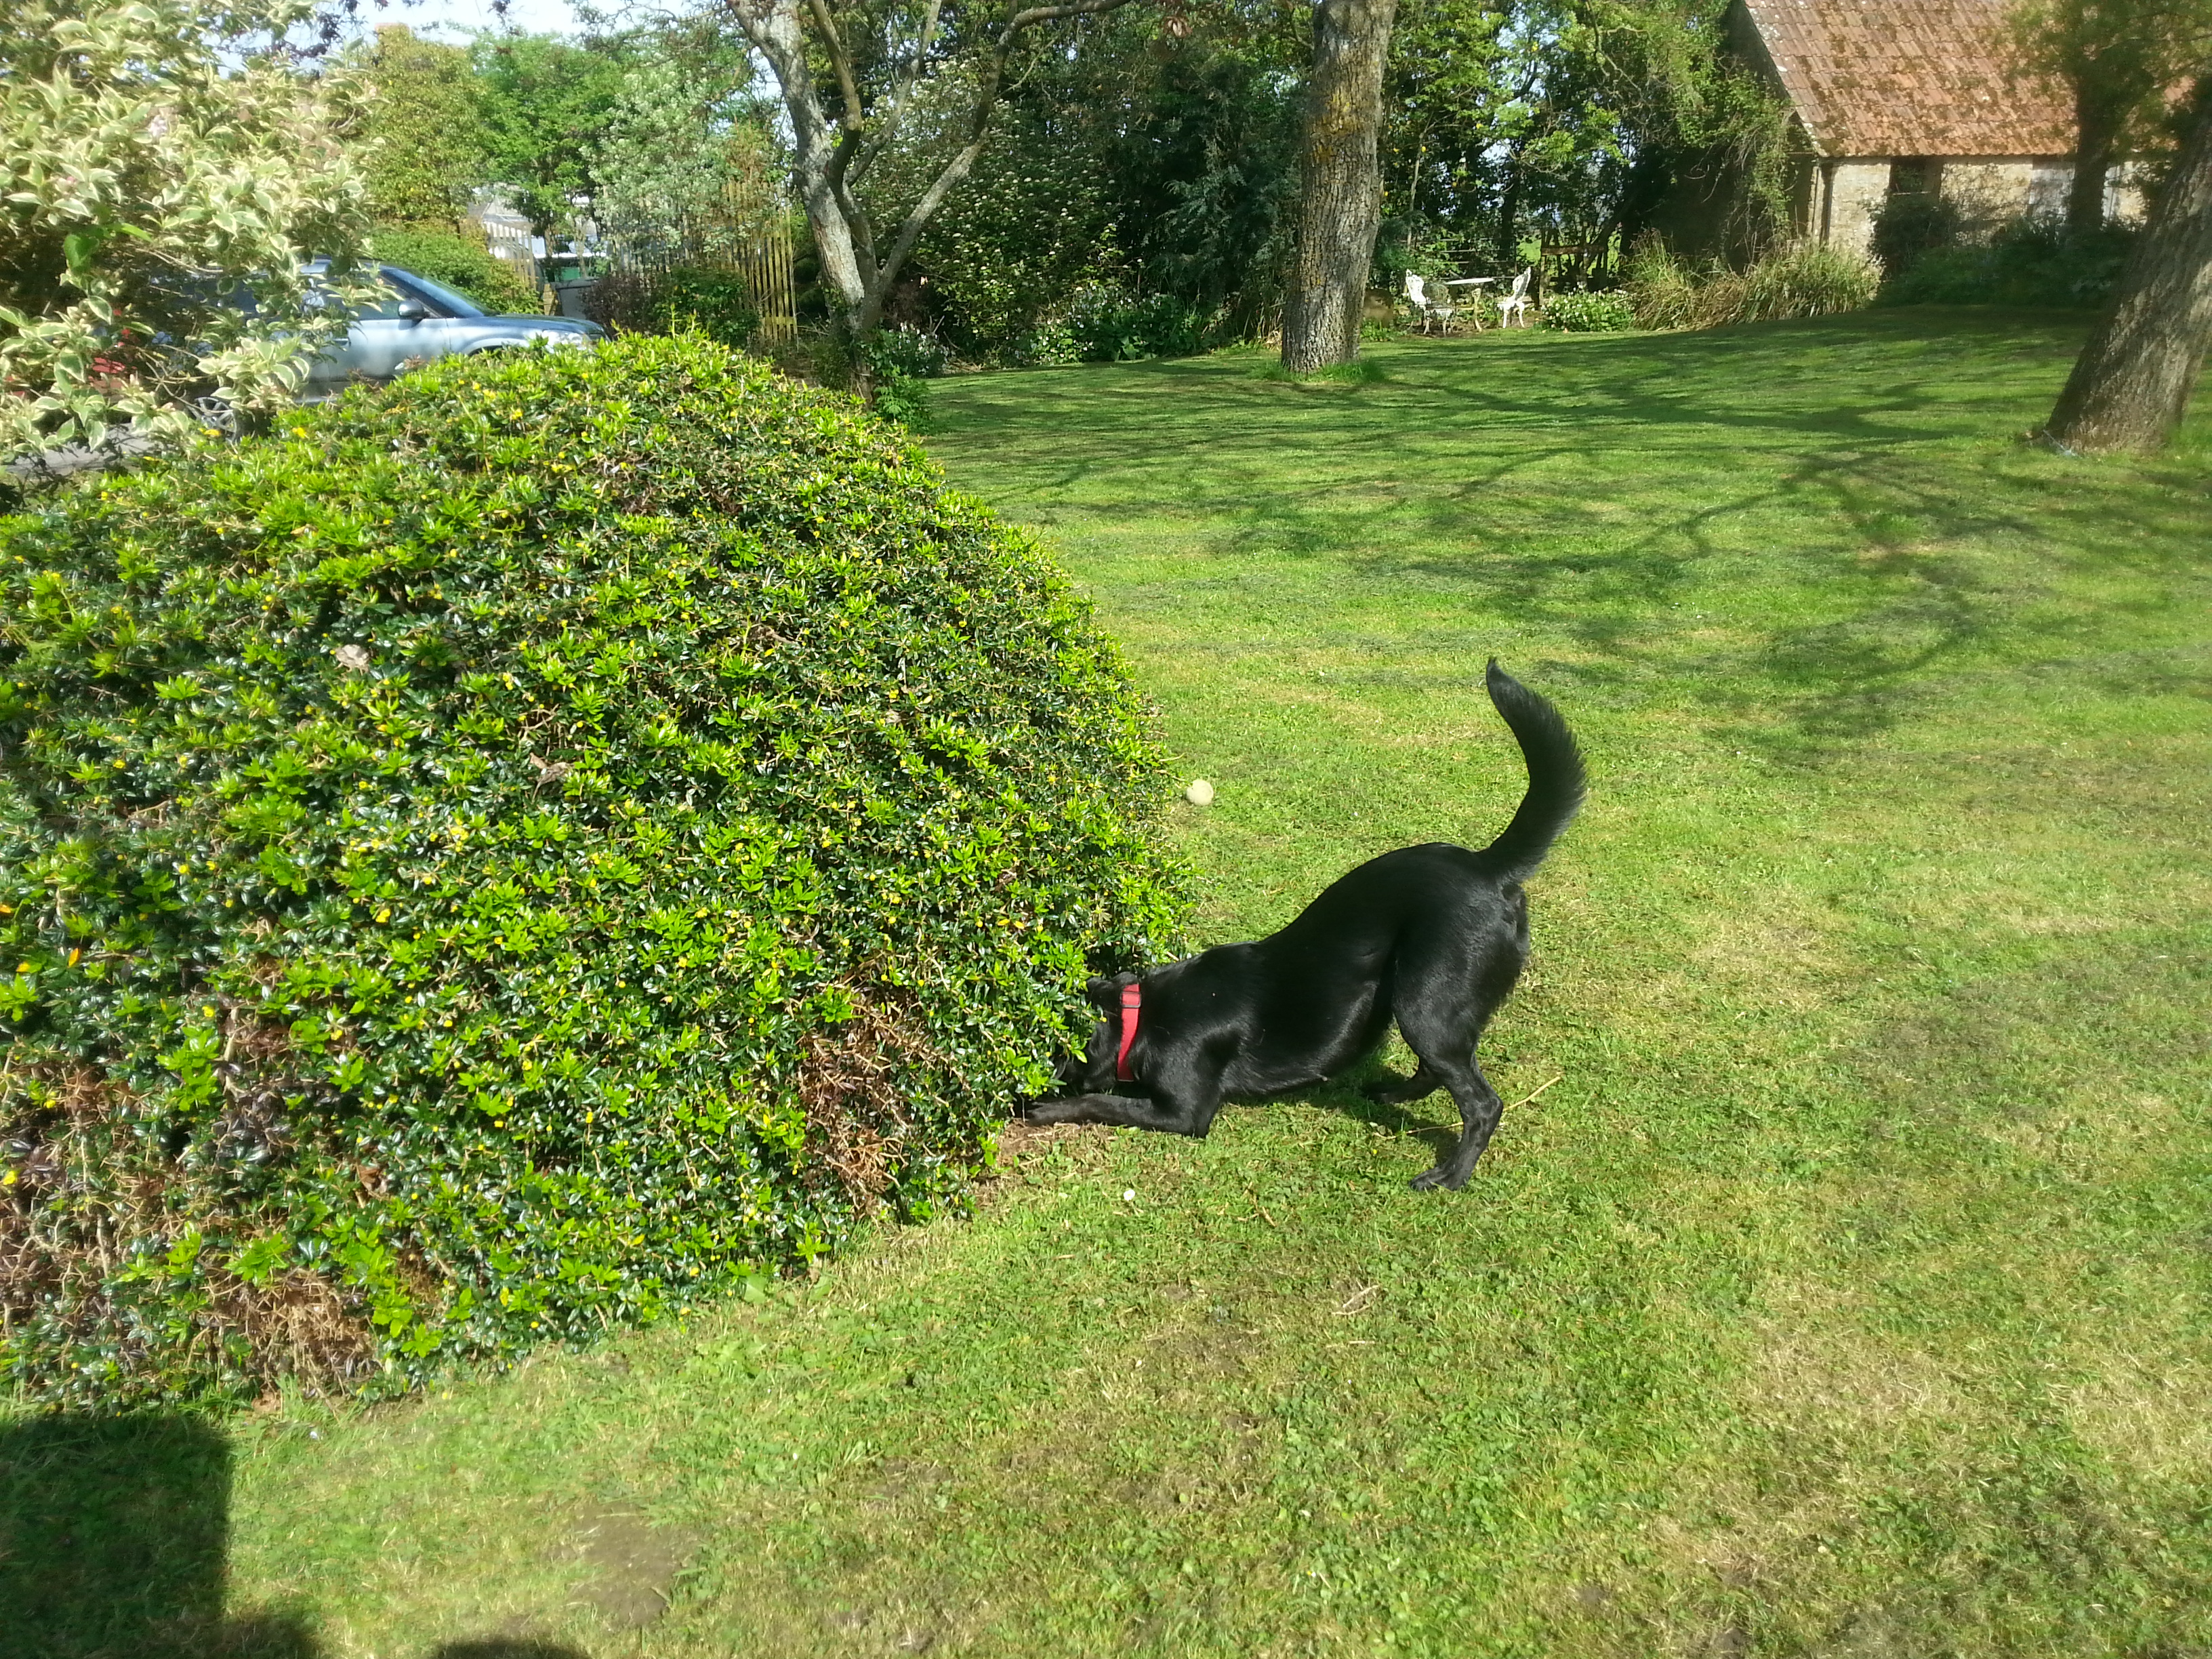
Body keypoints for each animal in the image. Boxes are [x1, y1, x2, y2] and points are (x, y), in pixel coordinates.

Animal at [1031, 660, 1584, 1190]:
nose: (1020, 1091)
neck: (1140, 1014)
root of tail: (1490, 867)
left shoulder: (1186, 1112)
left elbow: (1105, 1102)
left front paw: (1049, 1108)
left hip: (1425, 1003)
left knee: (1482, 1103)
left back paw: (1451, 1175)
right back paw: (1389, 1094)